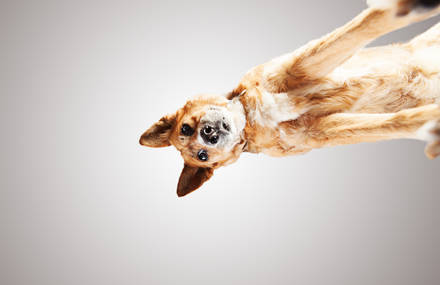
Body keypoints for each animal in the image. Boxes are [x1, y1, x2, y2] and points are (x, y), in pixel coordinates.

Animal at [139, 0, 440, 195]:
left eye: (186, 128)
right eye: (202, 156)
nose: (209, 135)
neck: (252, 119)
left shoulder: (301, 67)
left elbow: (367, 24)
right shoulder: (322, 131)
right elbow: (396, 122)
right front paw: (430, 122)